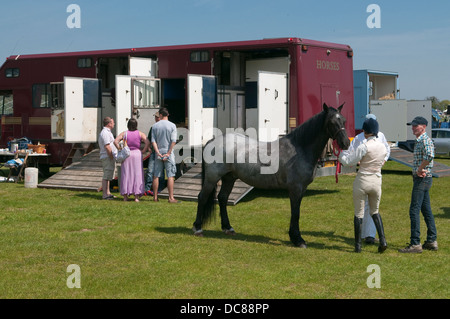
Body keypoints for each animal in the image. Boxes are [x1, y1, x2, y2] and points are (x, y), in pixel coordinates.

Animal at [192, 104, 350, 249]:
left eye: (343, 120)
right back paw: (198, 228)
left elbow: (296, 212)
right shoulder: (295, 189)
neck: (299, 149)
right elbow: (295, 213)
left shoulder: (301, 189)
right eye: (331, 122)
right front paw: (298, 240)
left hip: (229, 178)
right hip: (212, 178)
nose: (346, 143)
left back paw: (228, 228)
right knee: (202, 197)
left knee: (223, 198)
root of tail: (212, 141)